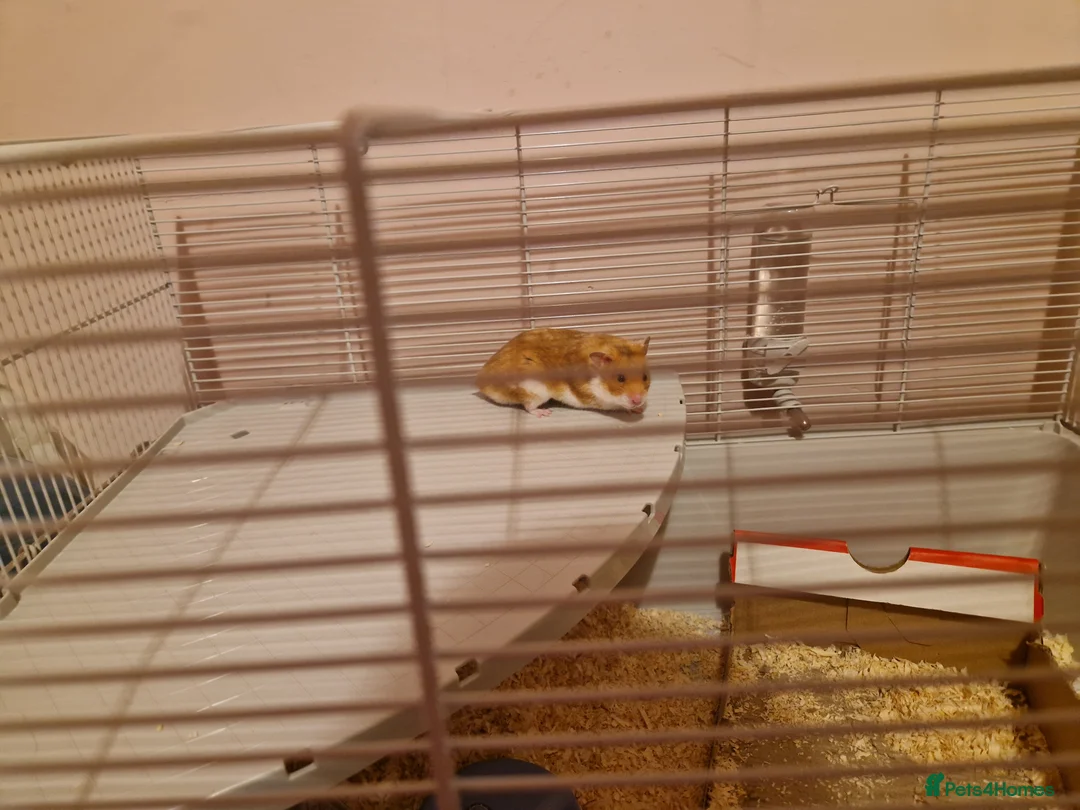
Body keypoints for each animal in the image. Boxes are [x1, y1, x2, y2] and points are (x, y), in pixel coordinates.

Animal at [476, 328, 652, 418]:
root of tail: (481, 384)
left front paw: (639, 409)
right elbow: (619, 406)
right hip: (535, 390)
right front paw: (636, 409)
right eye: (620, 378)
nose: (638, 400)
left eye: (645, 377)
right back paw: (545, 412)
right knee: (528, 406)